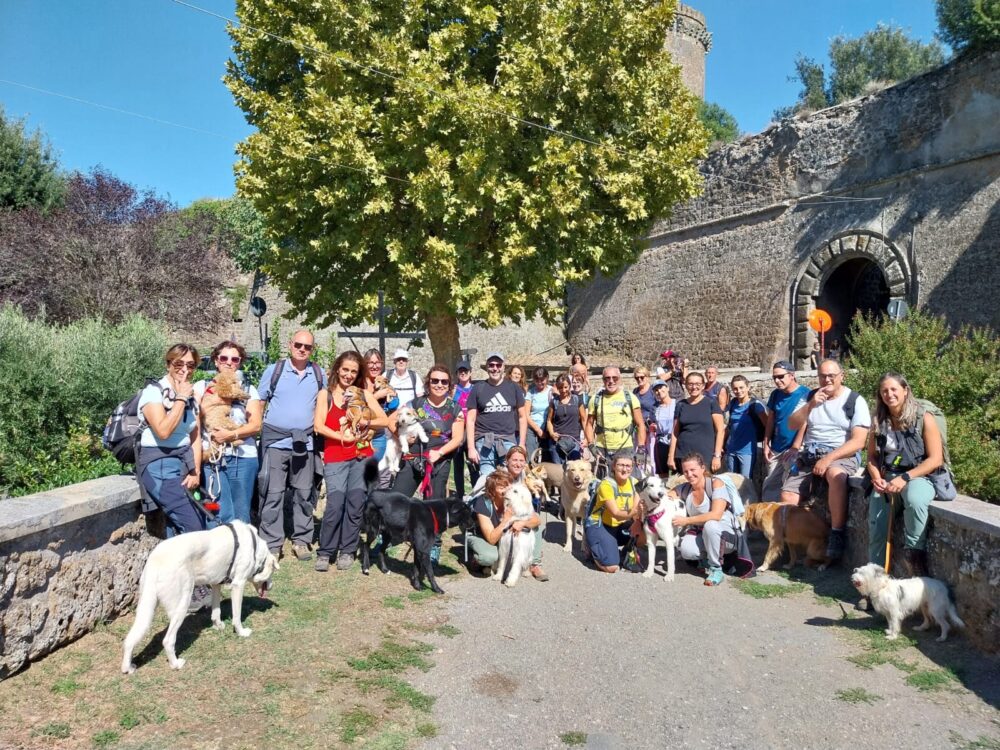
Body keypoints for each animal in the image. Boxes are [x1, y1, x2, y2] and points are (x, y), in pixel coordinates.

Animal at [125, 524, 284, 676]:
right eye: (272, 572)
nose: (272, 586)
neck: (254, 548)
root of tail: (155, 560)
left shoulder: (216, 584)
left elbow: (216, 612)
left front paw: (218, 626)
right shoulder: (238, 584)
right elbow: (237, 617)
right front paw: (241, 632)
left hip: (147, 606)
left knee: (129, 639)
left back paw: (128, 668)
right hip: (182, 604)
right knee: (168, 640)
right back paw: (176, 664)